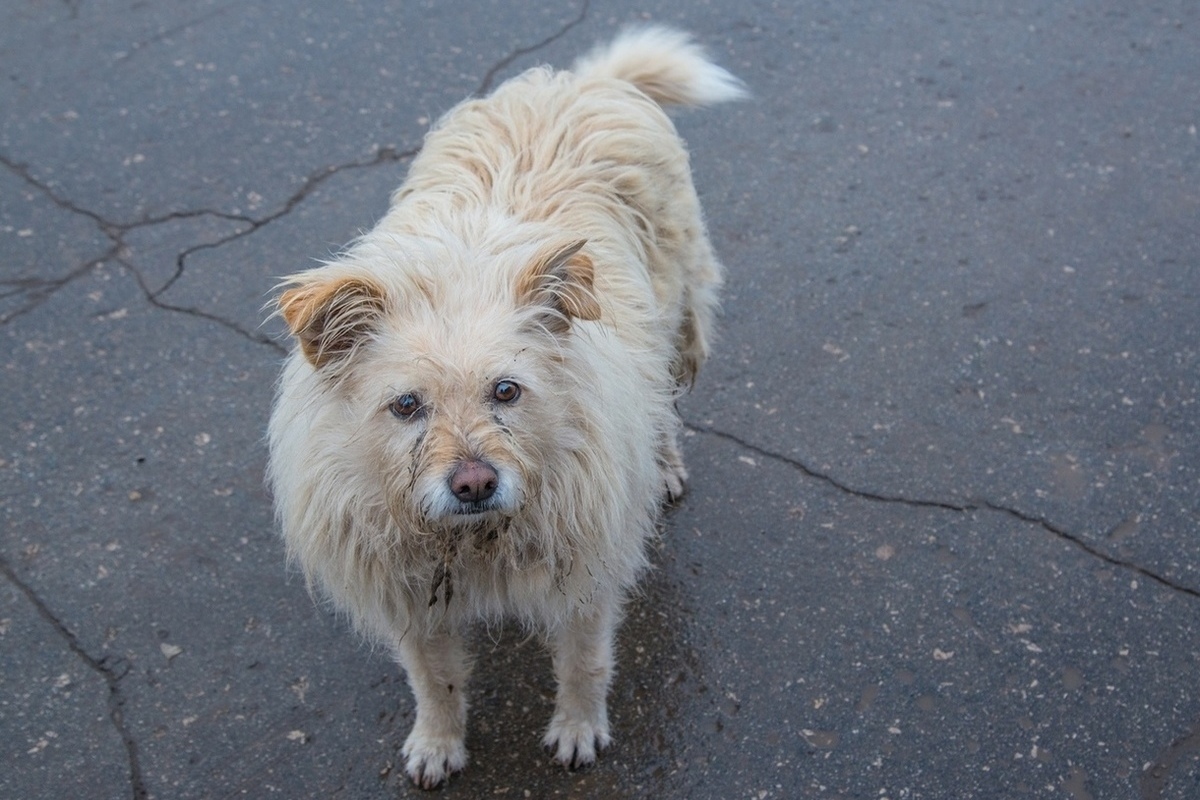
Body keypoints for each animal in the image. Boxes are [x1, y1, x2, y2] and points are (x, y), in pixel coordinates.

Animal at [267, 25, 744, 786]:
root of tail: (581, 81)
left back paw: (664, 463)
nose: (473, 483)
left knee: (665, 404)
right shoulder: (412, 604)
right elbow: (434, 682)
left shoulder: (585, 582)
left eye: (506, 391)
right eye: (407, 405)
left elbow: (583, 665)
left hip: (681, 327)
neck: (471, 543)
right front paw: (438, 742)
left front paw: (577, 730)